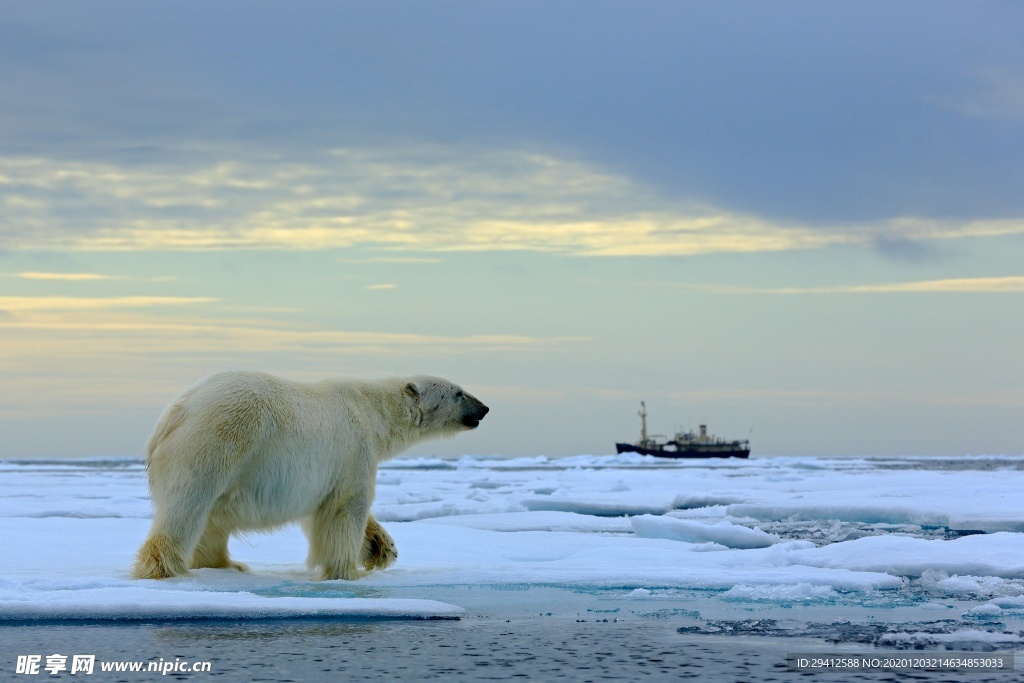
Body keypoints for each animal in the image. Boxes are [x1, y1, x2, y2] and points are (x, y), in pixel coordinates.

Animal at [131, 374, 487, 581]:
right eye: (458, 393)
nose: (483, 408)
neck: (373, 411)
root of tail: (174, 414)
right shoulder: (353, 448)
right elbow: (346, 508)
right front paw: (347, 570)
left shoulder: (318, 474)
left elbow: (321, 509)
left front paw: (381, 547)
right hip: (217, 440)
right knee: (188, 507)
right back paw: (164, 568)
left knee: (212, 518)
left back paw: (228, 565)